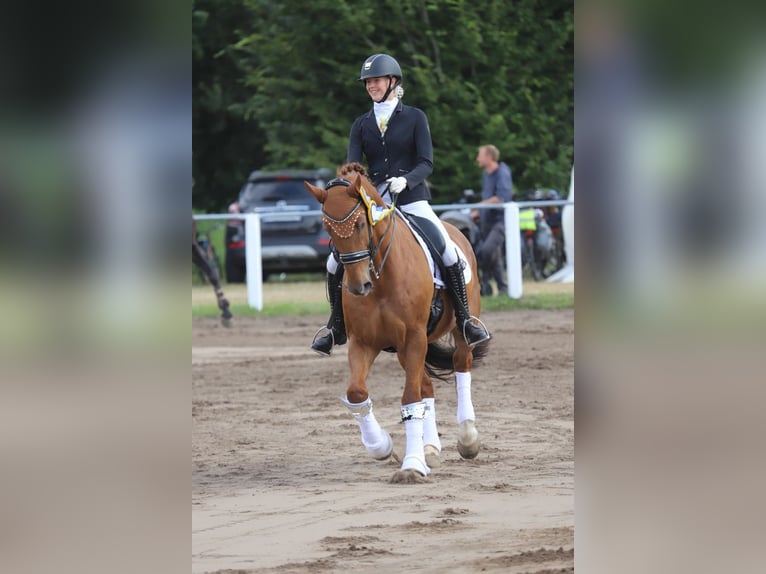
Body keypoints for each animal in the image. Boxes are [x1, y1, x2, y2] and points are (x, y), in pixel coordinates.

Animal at [304, 163, 490, 483]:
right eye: (328, 229)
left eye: (360, 225)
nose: (358, 287)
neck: (380, 278)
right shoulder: (364, 341)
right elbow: (357, 393)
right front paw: (382, 446)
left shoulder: (413, 338)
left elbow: (410, 399)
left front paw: (412, 465)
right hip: (410, 348)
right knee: (426, 387)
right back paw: (430, 448)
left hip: (456, 330)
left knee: (461, 365)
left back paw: (467, 439)